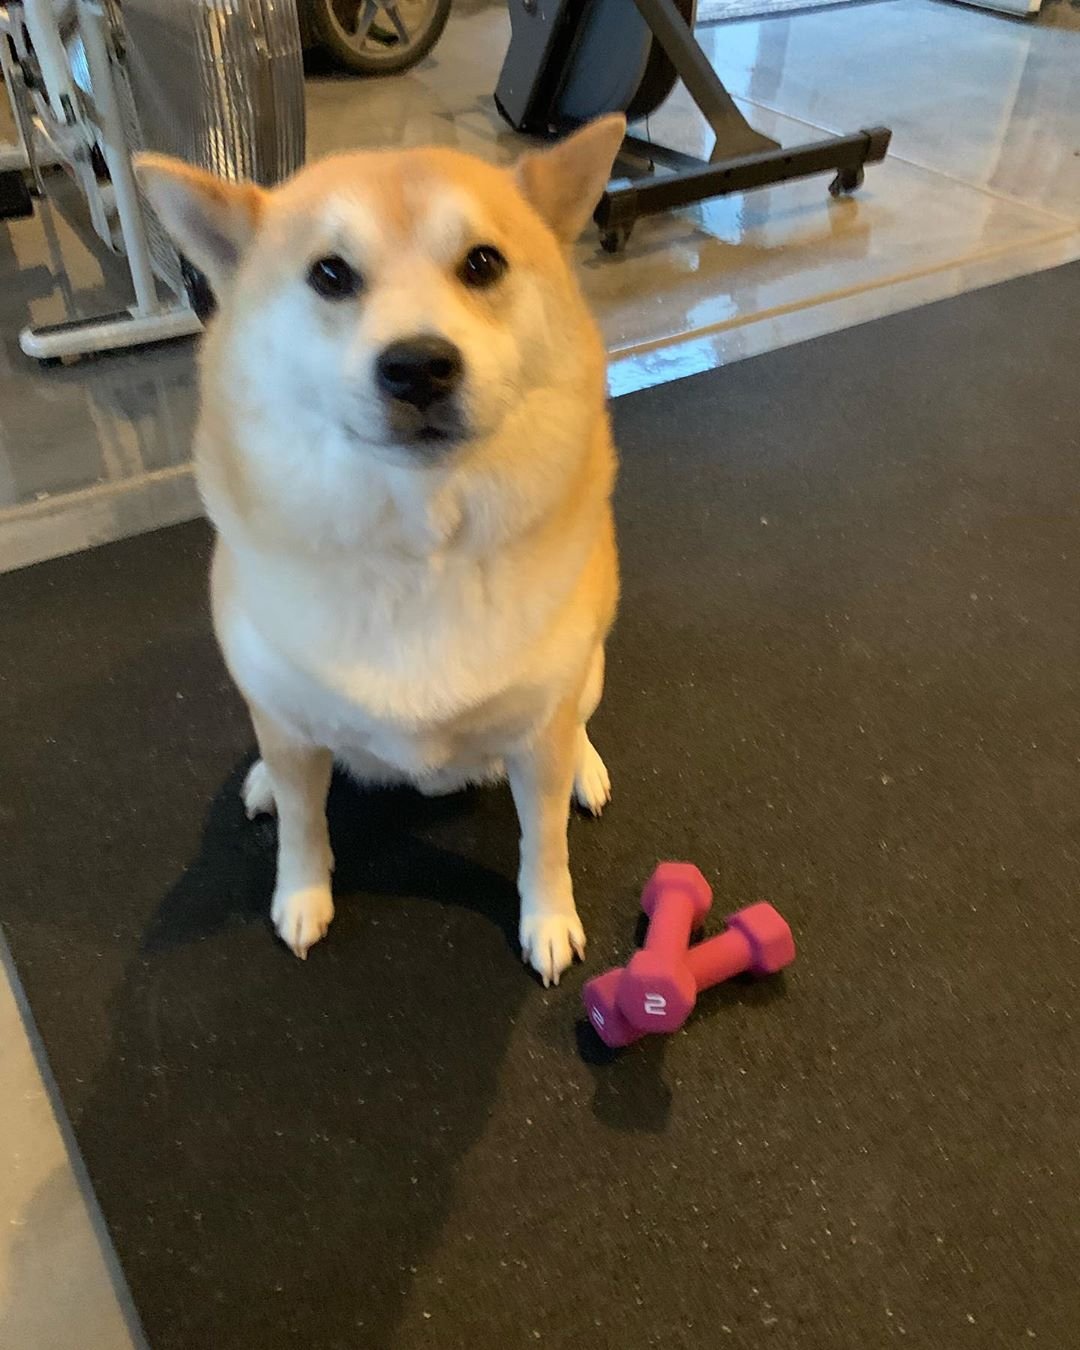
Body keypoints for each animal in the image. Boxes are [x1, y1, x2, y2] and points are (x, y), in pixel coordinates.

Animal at [136, 113, 623, 982]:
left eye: (483, 263)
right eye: (329, 275)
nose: (418, 366)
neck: (414, 546)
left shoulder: (538, 737)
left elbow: (544, 842)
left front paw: (548, 917)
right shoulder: (289, 724)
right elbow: (304, 826)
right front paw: (300, 894)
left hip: (587, 667)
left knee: (581, 717)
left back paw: (587, 767)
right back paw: (262, 783)